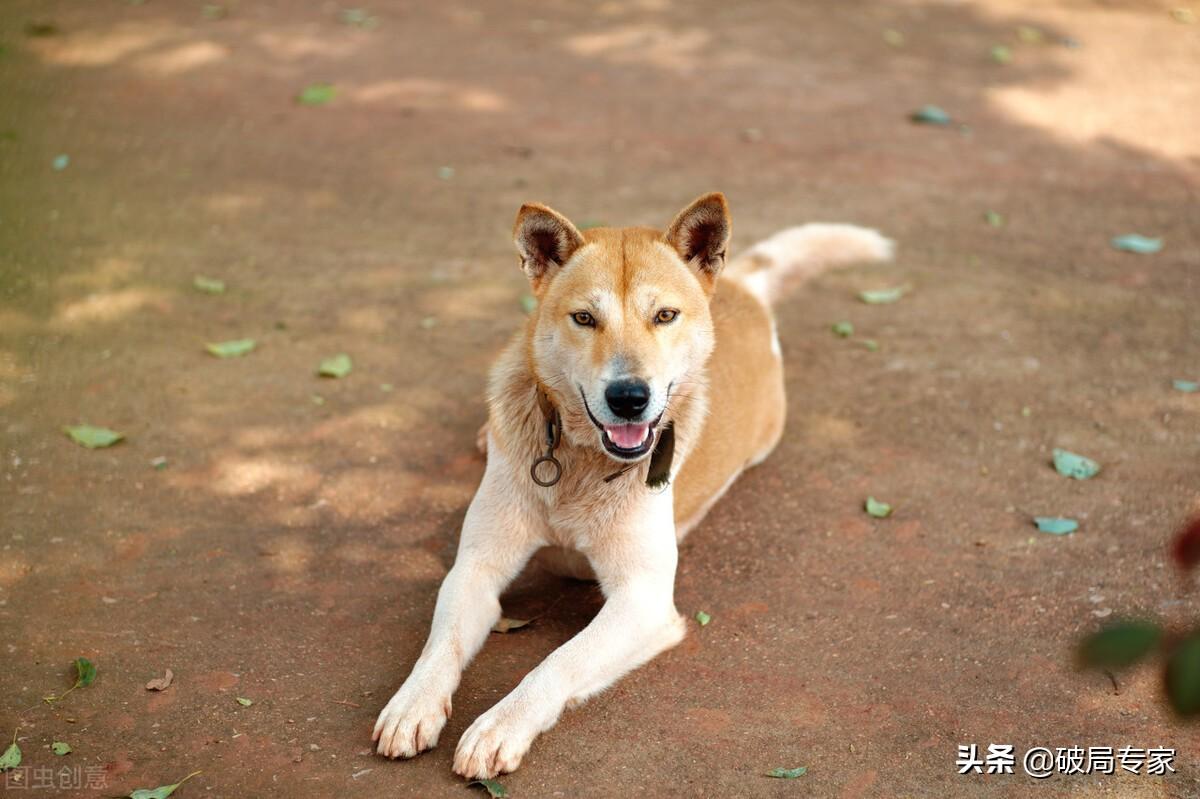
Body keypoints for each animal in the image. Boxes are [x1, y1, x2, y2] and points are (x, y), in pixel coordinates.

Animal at [372, 189, 892, 772]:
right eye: (584, 318)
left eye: (664, 315)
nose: (628, 398)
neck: (580, 461)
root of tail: (742, 287)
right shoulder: (475, 569)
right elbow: (441, 643)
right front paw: (413, 703)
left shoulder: (642, 601)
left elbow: (559, 661)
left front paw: (501, 724)